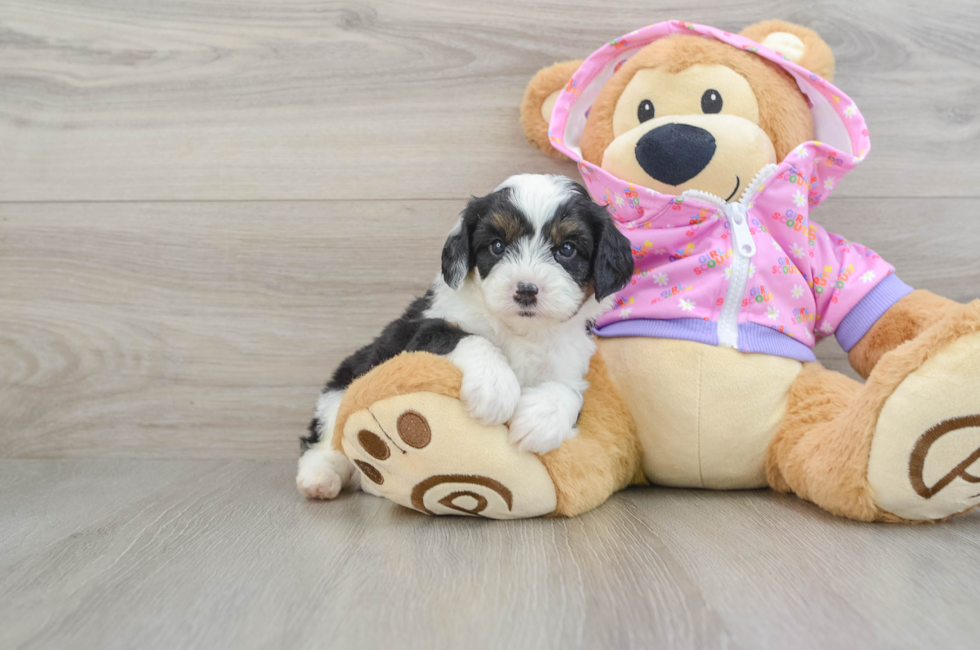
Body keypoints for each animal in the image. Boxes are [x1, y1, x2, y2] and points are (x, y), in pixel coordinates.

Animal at [298, 172, 632, 496]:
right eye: (497, 246)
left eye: (567, 249)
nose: (525, 290)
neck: (521, 331)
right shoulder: (420, 332)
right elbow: (467, 337)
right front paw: (496, 388)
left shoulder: (570, 360)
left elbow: (570, 392)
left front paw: (539, 421)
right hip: (344, 383)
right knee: (326, 437)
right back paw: (320, 477)